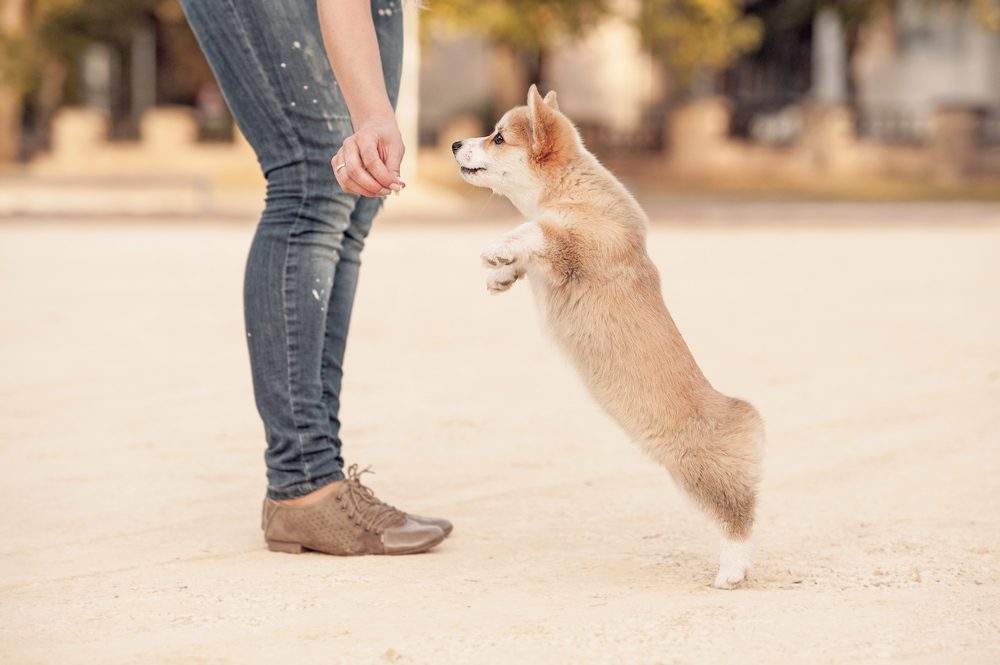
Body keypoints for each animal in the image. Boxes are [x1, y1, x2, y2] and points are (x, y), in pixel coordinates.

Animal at [454, 85, 764, 588]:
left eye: (498, 137)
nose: (455, 144)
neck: (565, 186)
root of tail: (736, 411)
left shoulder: (581, 240)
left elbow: (538, 231)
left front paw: (497, 248)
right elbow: (529, 255)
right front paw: (500, 275)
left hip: (698, 472)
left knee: (738, 518)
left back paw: (731, 571)